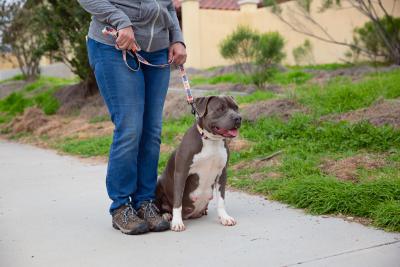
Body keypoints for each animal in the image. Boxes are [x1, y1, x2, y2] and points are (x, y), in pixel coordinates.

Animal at [156, 96, 241, 232]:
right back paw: (166, 215)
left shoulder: (222, 173)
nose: (238, 118)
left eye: (236, 107)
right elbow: (178, 200)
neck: (212, 140)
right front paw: (177, 222)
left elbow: (221, 199)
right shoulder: (181, 173)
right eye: (220, 109)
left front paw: (224, 217)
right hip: (158, 184)